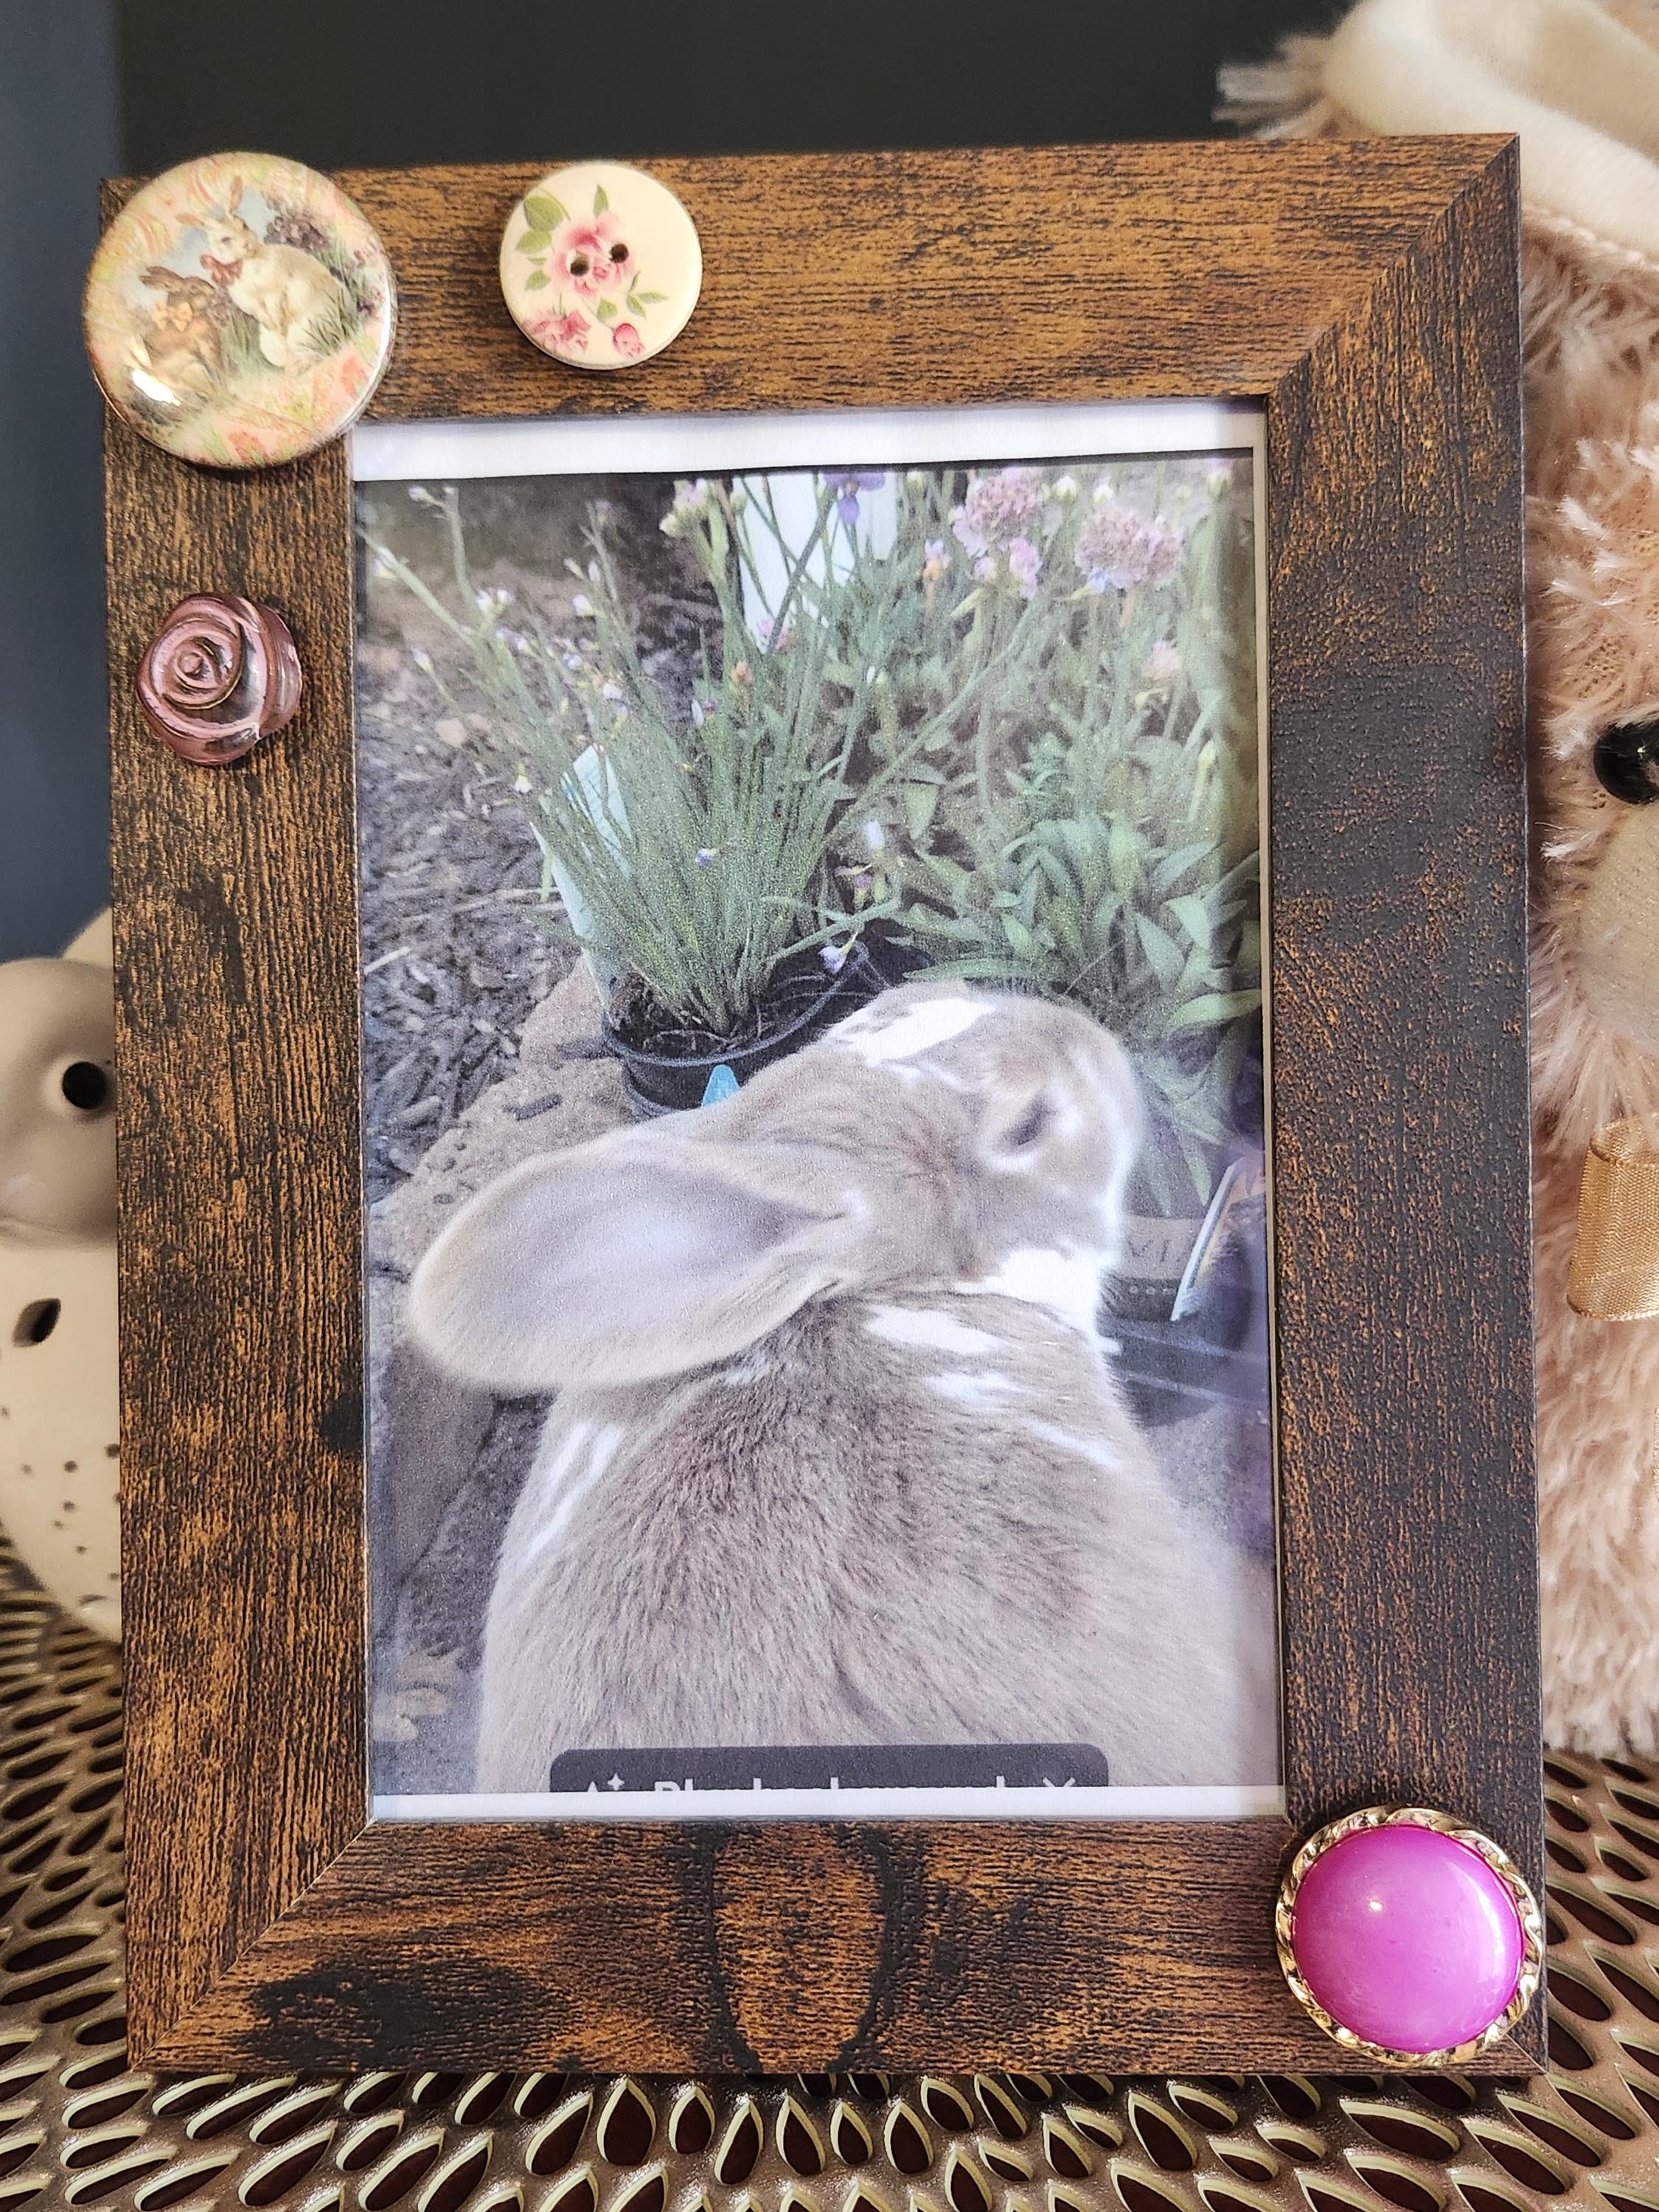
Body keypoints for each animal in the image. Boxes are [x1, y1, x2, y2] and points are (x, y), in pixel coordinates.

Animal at [195, 180, 351, 369]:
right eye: (225, 240)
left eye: (244, 225)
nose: (247, 245)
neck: (246, 263)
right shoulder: (251, 304)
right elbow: (261, 314)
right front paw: (273, 326)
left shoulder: (275, 292)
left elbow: (276, 309)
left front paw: (278, 326)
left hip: (304, 331)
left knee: (318, 354)